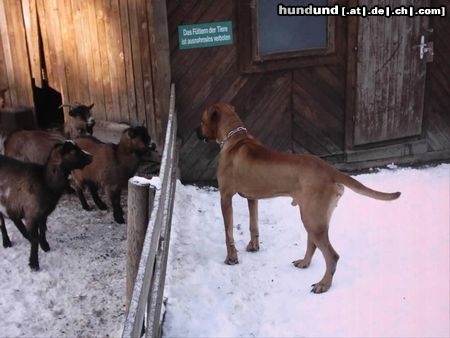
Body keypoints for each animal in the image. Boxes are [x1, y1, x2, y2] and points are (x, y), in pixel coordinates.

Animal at [0, 140, 92, 270]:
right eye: (74, 151)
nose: (91, 156)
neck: (46, 182)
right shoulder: (31, 214)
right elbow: (34, 239)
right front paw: (34, 264)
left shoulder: (43, 214)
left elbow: (42, 230)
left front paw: (44, 246)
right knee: (2, 222)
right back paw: (7, 242)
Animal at [197, 103, 400, 294]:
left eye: (202, 121)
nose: (196, 132)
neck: (234, 137)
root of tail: (329, 169)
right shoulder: (252, 198)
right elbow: (253, 224)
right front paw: (253, 246)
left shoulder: (225, 197)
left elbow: (228, 232)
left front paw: (231, 258)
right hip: (315, 217)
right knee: (313, 244)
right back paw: (304, 263)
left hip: (312, 218)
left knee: (332, 255)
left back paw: (323, 284)